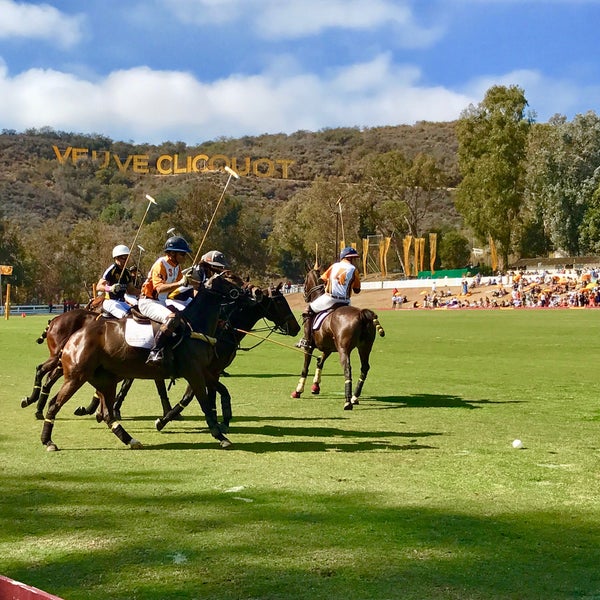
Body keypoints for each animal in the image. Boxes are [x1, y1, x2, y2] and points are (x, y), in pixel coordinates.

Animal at [39, 272, 244, 450]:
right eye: (231, 279)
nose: (247, 292)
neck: (196, 326)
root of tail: (74, 337)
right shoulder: (193, 372)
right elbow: (205, 404)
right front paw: (220, 436)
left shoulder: (205, 371)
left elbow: (222, 391)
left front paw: (224, 421)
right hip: (76, 376)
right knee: (55, 403)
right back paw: (48, 440)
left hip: (105, 379)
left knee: (107, 414)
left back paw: (130, 440)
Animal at [290, 270, 384, 410]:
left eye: (305, 280)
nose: (304, 296)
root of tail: (362, 314)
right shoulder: (328, 348)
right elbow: (320, 362)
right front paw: (315, 386)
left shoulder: (310, 347)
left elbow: (305, 368)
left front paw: (298, 391)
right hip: (365, 347)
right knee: (365, 367)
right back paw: (354, 397)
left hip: (343, 348)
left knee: (347, 368)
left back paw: (348, 401)